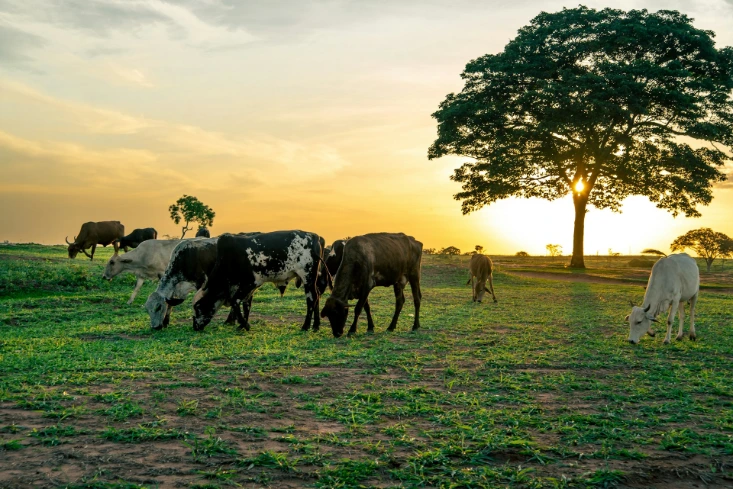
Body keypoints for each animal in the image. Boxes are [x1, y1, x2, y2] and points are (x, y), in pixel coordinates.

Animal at [192, 231, 323, 333]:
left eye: (198, 307)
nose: (195, 326)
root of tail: (314, 236)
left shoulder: (249, 284)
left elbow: (235, 302)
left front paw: (245, 325)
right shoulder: (249, 288)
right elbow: (246, 305)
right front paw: (242, 325)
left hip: (307, 277)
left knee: (311, 299)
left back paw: (306, 326)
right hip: (311, 280)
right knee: (316, 296)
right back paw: (316, 326)